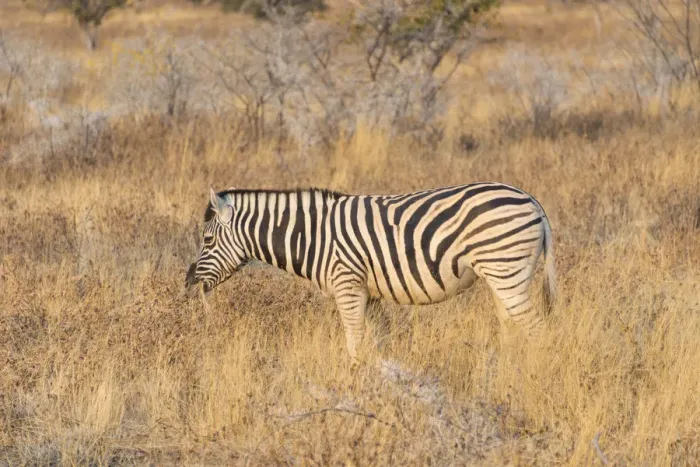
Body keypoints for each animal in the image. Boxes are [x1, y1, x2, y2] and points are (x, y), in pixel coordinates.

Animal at [185, 182, 557, 364]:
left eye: (207, 239)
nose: (189, 283)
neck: (313, 236)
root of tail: (533, 201)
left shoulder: (347, 285)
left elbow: (353, 341)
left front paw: (352, 385)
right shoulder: (372, 293)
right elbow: (379, 342)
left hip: (507, 272)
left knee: (539, 331)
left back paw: (538, 374)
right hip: (501, 277)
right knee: (512, 328)